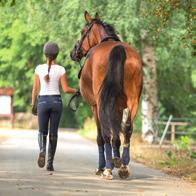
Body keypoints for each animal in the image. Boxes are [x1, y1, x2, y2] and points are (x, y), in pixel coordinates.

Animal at [70, 11, 142, 179]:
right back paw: (123, 166)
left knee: (105, 135)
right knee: (127, 129)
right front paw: (117, 160)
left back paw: (107, 168)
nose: (73, 52)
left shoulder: (95, 106)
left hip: (101, 103)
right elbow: (116, 135)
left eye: (82, 31)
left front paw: (103, 166)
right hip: (133, 101)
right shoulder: (118, 107)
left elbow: (101, 137)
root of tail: (119, 49)